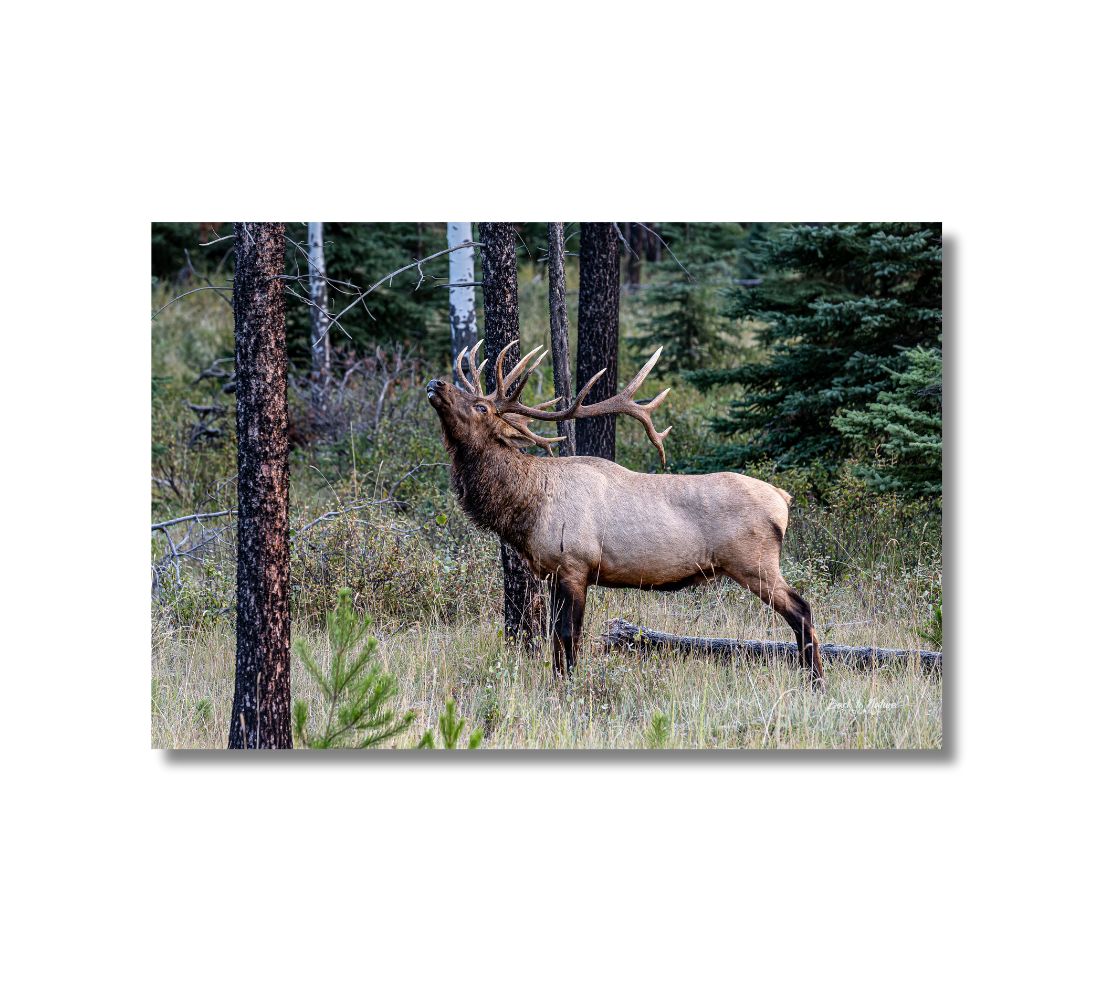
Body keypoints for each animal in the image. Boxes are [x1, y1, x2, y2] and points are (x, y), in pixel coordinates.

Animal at [425, 340, 824, 685]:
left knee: (801, 609)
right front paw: (555, 682)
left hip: (753, 562)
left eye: (482, 407)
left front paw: (569, 686)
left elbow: (569, 636)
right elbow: (555, 639)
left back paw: (816, 682)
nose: (435, 383)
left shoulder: (575, 565)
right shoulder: (552, 572)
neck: (528, 507)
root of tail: (783, 499)